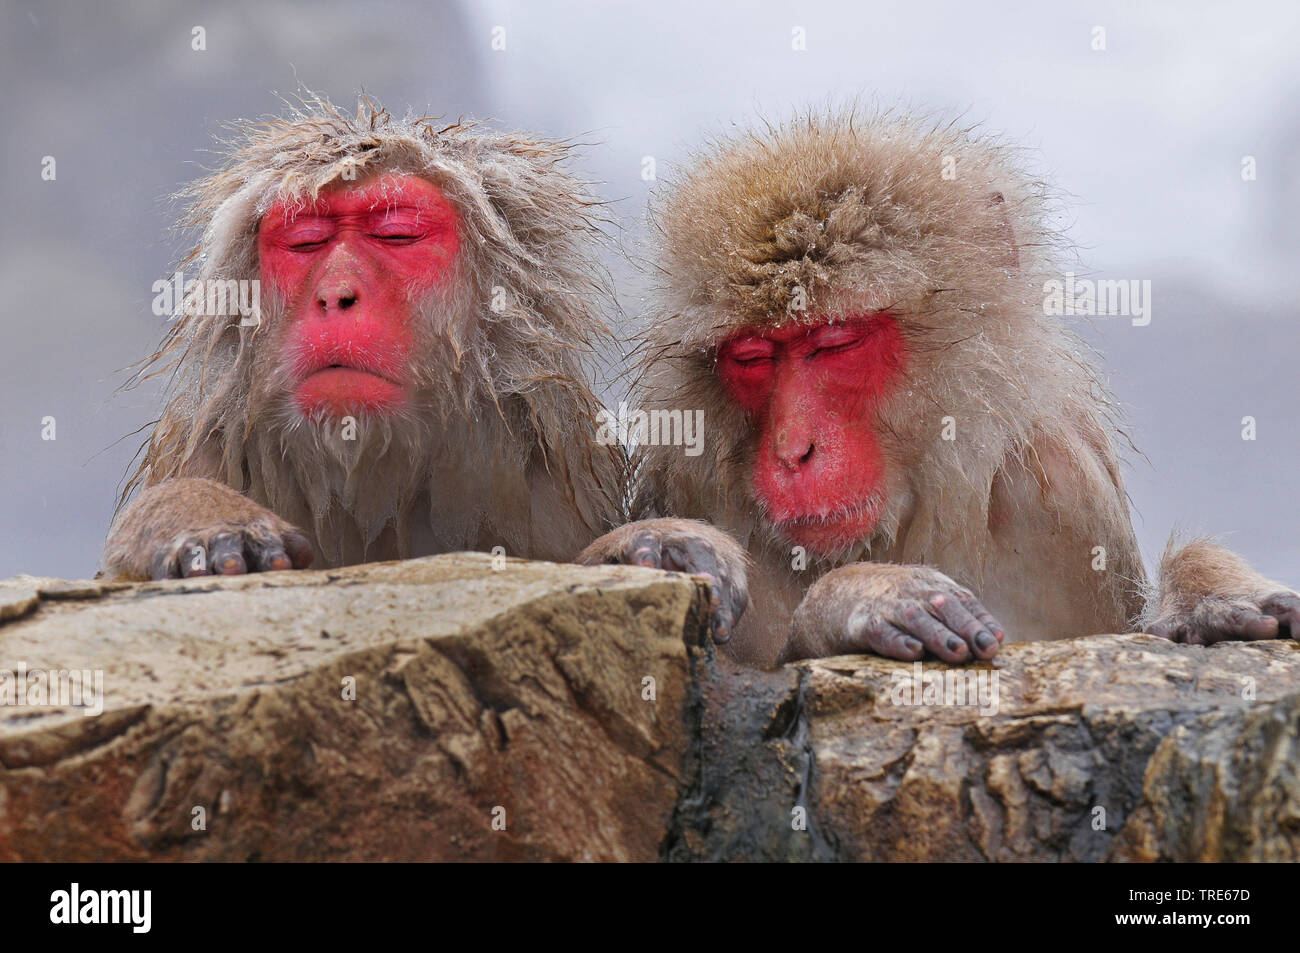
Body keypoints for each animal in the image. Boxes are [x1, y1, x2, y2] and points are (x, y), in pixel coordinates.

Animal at [579, 109, 1300, 660]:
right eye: (752, 356)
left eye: (836, 342)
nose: (793, 450)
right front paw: (858, 597)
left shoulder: (1066, 499)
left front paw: (1212, 596)